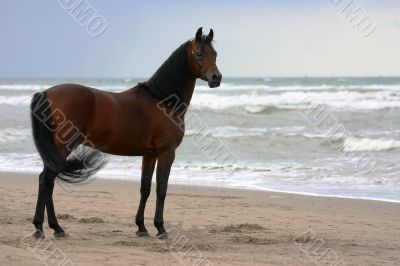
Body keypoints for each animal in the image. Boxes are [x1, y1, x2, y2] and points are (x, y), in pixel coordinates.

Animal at [28, 28, 222, 240]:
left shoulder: (149, 155)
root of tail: (46, 93)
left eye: (215, 54)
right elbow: (161, 189)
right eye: (198, 54)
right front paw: (161, 229)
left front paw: (142, 227)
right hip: (63, 146)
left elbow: (145, 188)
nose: (216, 78)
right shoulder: (166, 153)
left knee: (48, 182)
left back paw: (56, 228)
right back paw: (40, 229)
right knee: (46, 181)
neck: (162, 99)